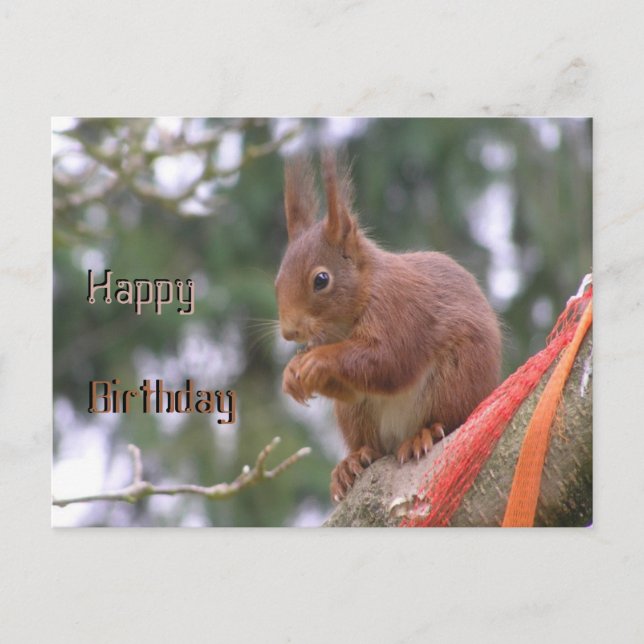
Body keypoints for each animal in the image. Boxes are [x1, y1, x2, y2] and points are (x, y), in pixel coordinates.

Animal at [275, 153, 502, 502]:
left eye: (321, 280)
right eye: (277, 281)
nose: (289, 333)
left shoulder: (399, 311)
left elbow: (387, 361)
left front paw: (317, 361)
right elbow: (354, 382)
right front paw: (291, 374)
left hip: (457, 379)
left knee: (447, 417)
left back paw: (423, 434)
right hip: (355, 414)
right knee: (368, 441)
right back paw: (352, 462)